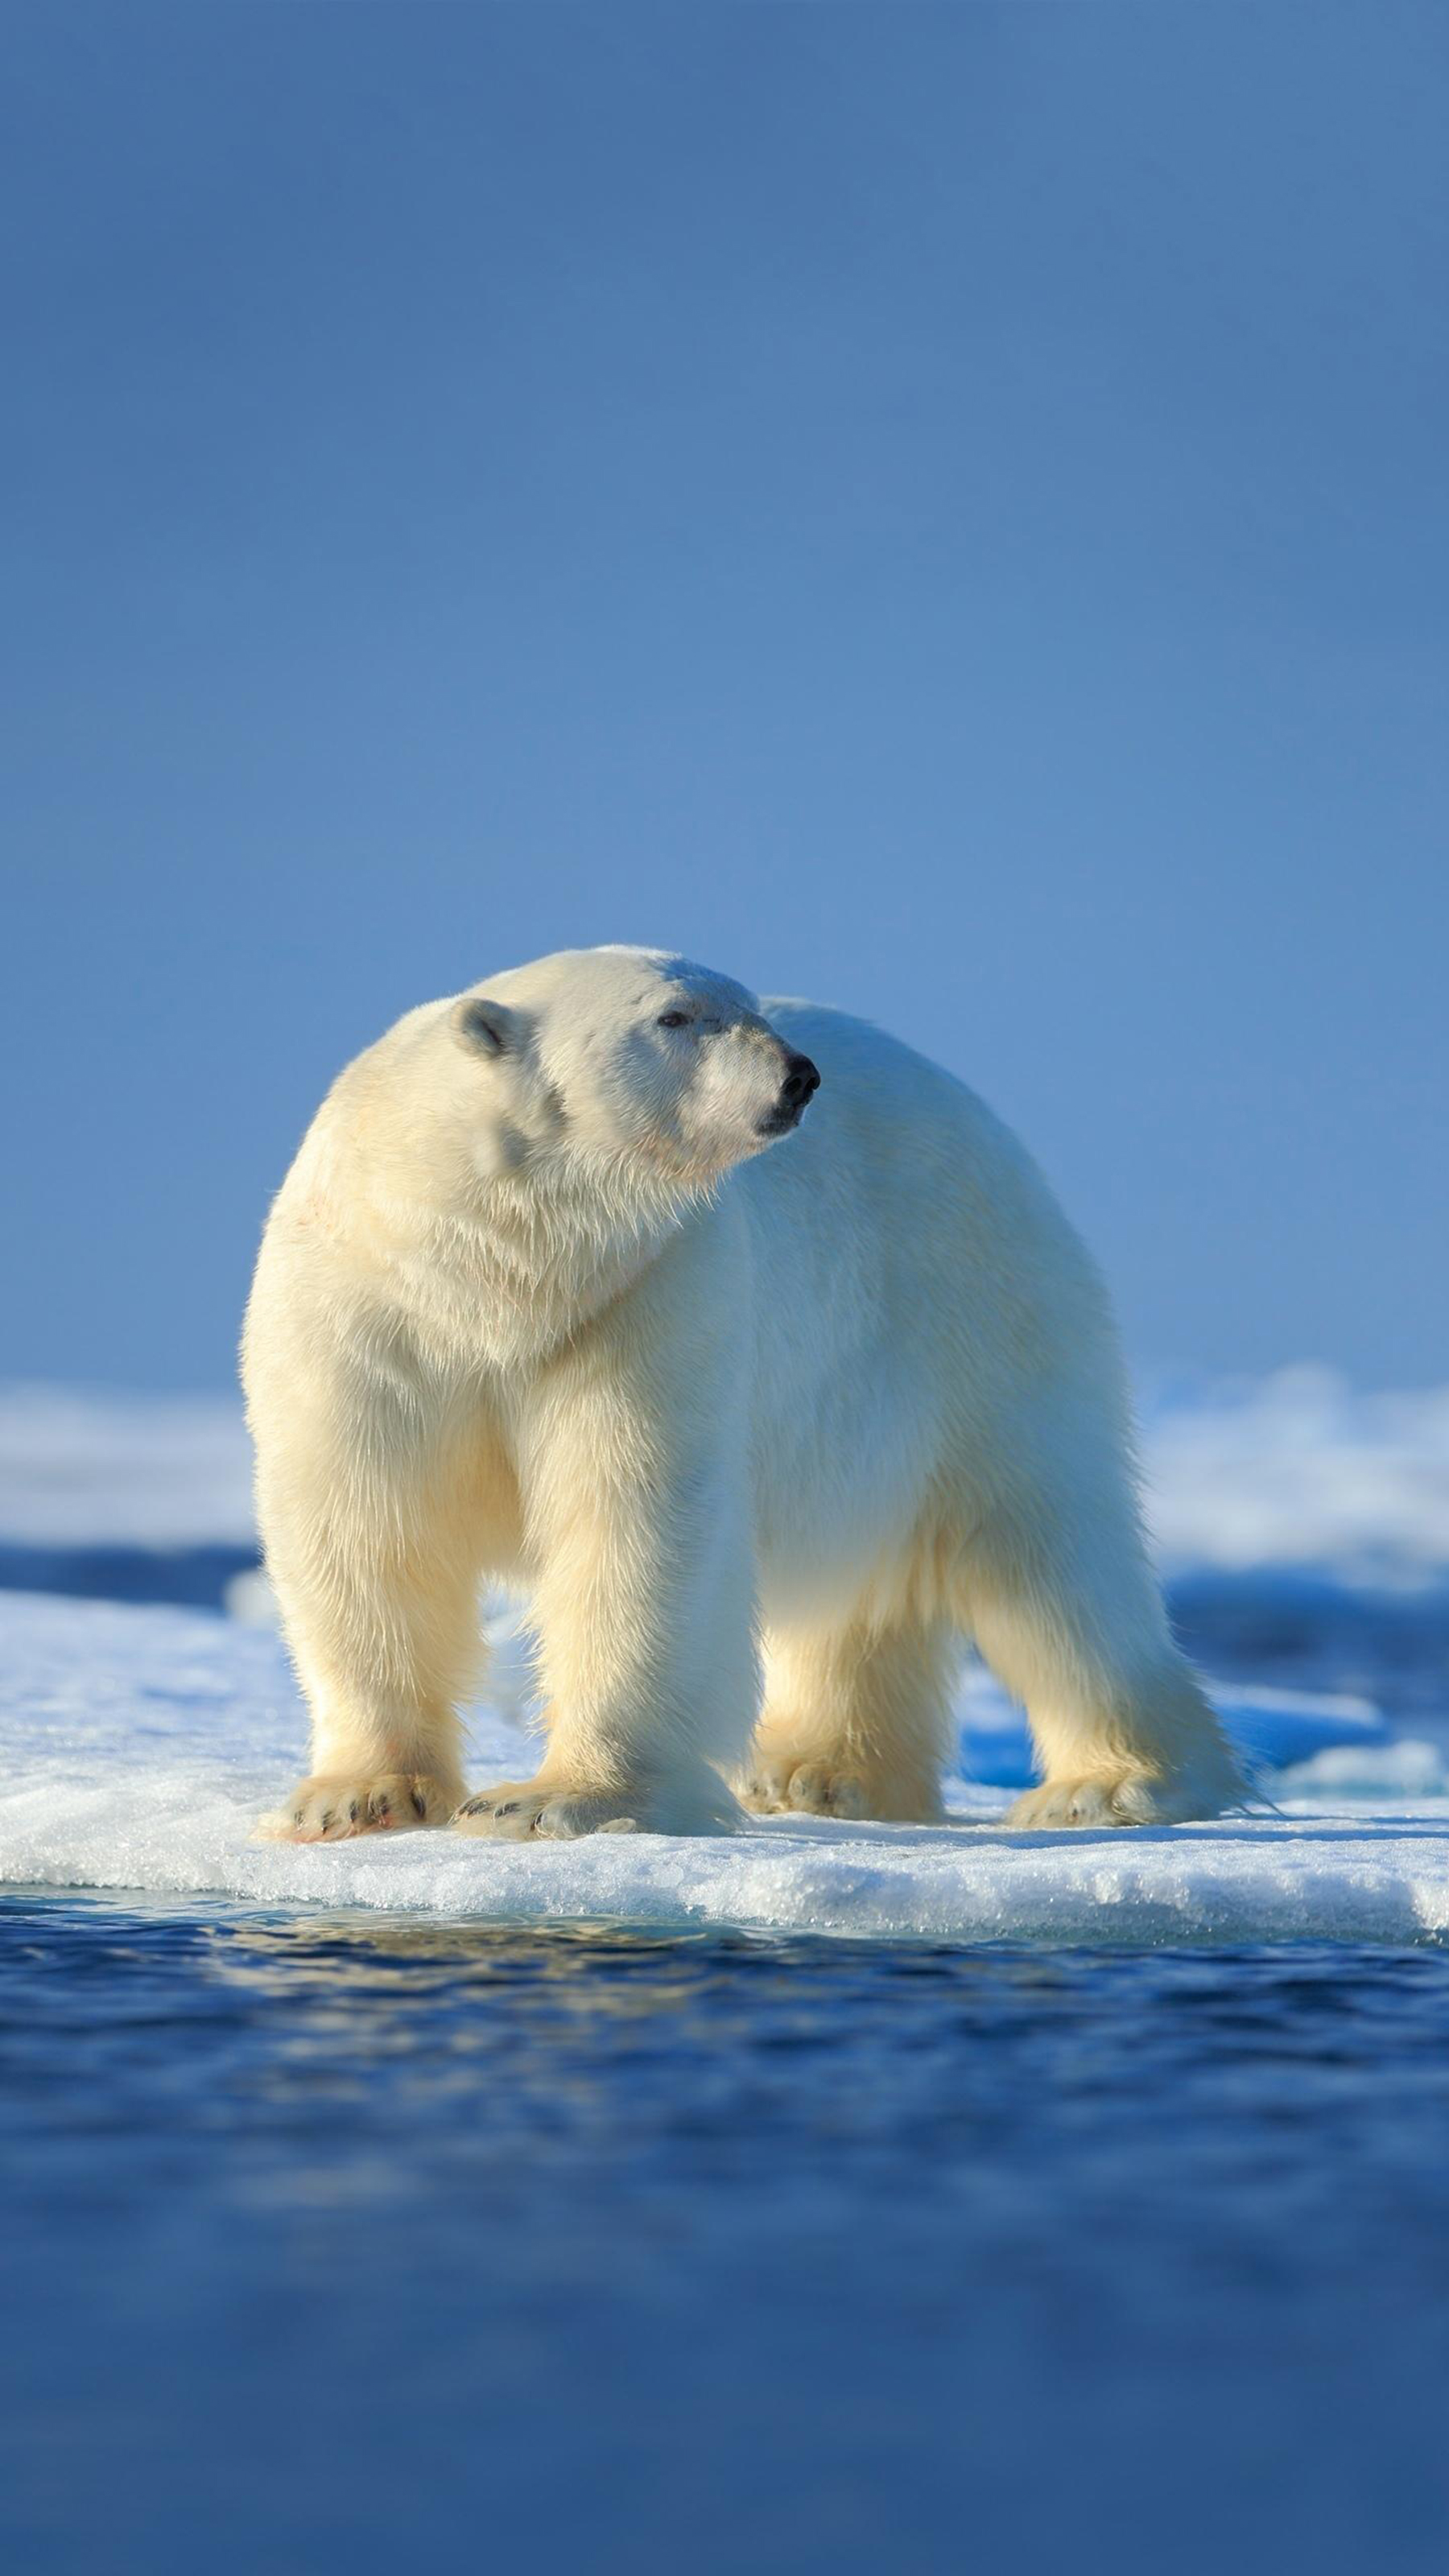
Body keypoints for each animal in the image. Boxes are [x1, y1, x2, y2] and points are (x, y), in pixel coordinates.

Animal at [242, 947, 1237, 1834]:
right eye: (674, 1016)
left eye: (750, 1004)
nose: (800, 1075)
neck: (496, 1268)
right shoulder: (369, 1313)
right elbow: (365, 1521)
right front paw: (356, 1797)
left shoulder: (647, 1292)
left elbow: (634, 1521)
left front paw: (554, 1800)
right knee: (869, 1580)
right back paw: (821, 1771)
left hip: (974, 1311)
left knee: (1048, 1554)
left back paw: (1109, 1784)